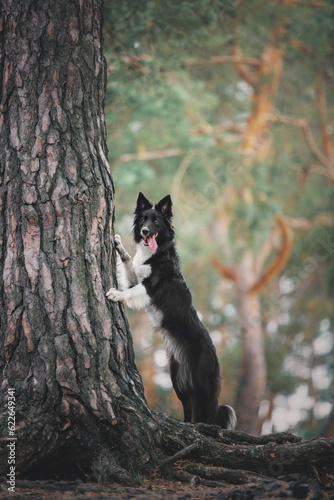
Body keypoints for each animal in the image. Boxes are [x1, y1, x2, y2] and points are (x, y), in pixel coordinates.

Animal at [107, 192, 237, 430]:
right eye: (143, 220)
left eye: (156, 221)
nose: (145, 231)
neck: (156, 252)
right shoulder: (135, 279)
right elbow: (129, 262)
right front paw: (119, 246)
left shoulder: (150, 288)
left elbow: (130, 293)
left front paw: (116, 295)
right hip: (180, 383)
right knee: (189, 409)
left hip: (202, 385)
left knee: (209, 414)